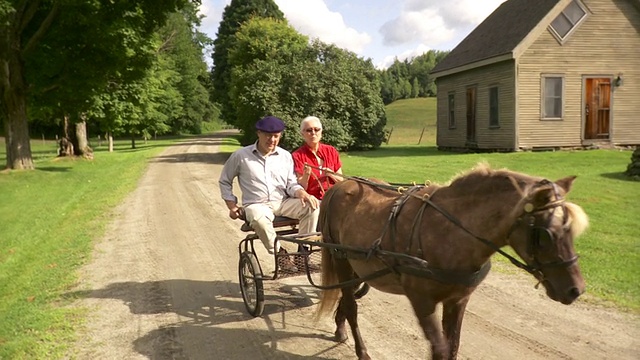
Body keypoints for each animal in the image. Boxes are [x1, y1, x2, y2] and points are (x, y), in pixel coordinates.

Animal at [316, 164, 592, 360]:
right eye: (545, 235)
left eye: (572, 230)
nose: (576, 289)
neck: (450, 231)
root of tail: (340, 186)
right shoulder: (422, 301)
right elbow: (439, 350)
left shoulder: (457, 300)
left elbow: (453, 347)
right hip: (340, 258)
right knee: (352, 306)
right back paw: (361, 350)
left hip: (357, 266)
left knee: (348, 296)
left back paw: (339, 326)